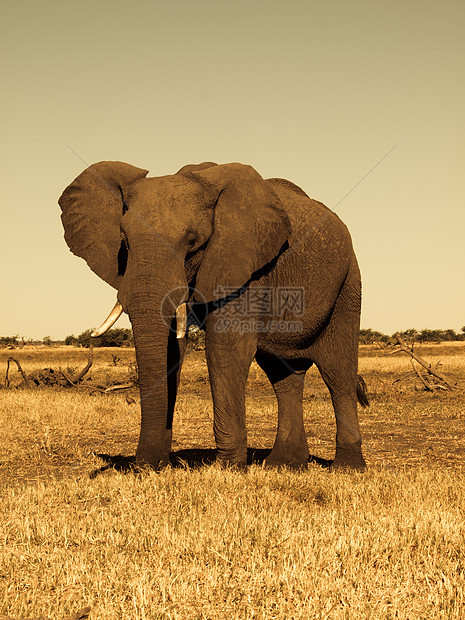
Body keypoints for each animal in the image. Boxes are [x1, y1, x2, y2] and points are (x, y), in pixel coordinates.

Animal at [59, 160, 368, 470]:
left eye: (192, 242)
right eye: (124, 241)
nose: (144, 467)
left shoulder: (244, 266)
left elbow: (226, 348)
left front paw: (226, 469)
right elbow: (173, 350)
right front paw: (157, 465)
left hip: (348, 284)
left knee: (337, 372)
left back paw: (347, 468)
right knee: (284, 375)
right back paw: (283, 464)